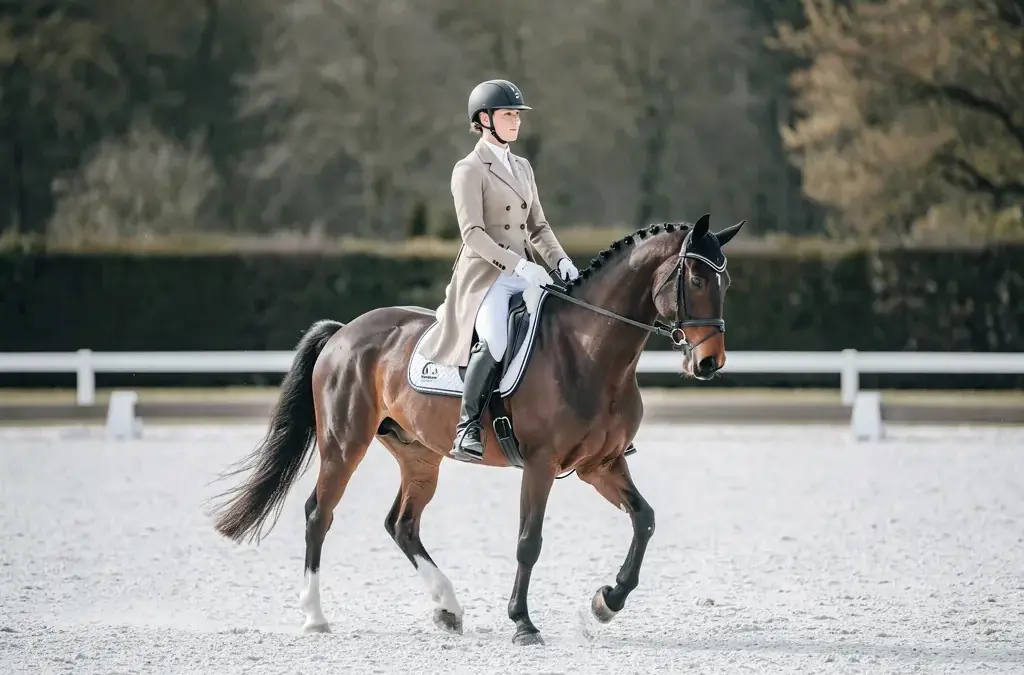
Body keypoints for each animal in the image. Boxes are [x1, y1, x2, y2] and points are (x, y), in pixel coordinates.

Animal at [207, 213, 745, 645]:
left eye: (726, 284)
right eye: (697, 278)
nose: (709, 363)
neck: (590, 350)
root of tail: (344, 332)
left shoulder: (601, 464)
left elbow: (644, 520)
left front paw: (604, 604)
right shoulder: (541, 465)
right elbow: (529, 541)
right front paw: (523, 623)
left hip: (419, 454)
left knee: (402, 524)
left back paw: (448, 608)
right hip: (344, 444)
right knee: (320, 513)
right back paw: (315, 617)